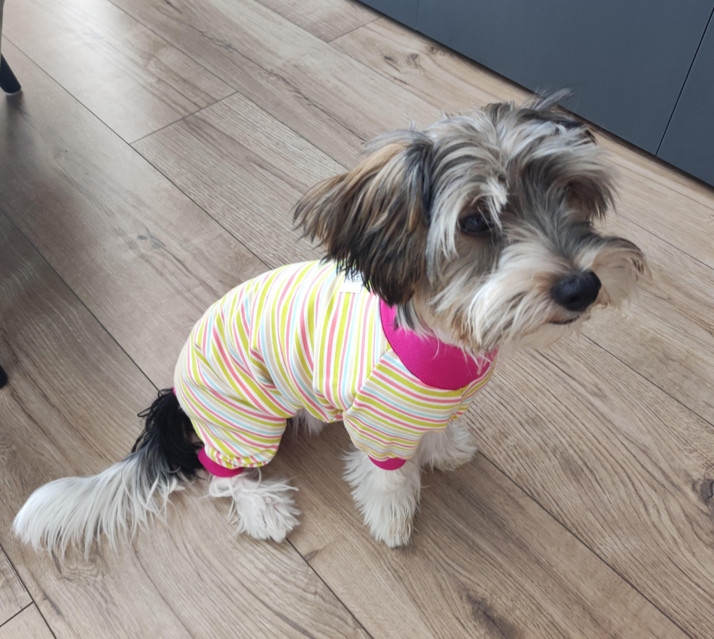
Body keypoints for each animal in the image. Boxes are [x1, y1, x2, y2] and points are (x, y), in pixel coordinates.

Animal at [13, 94, 647, 555]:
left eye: (571, 191)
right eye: (474, 221)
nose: (582, 286)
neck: (445, 334)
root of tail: (178, 393)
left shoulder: (440, 401)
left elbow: (437, 430)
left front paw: (444, 448)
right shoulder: (380, 424)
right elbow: (388, 475)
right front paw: (393, 517)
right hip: (245, 422)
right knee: (221, 475)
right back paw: (263, 508)